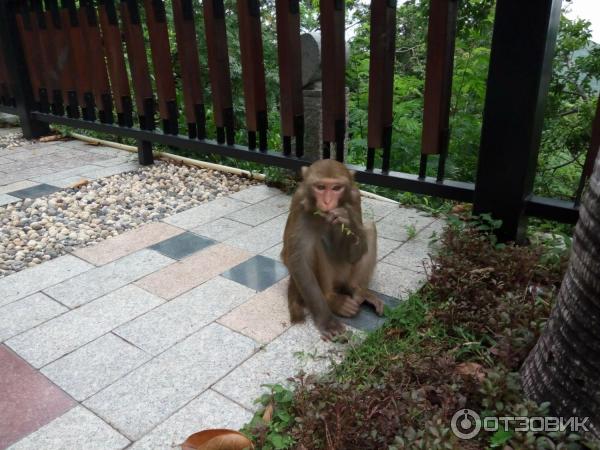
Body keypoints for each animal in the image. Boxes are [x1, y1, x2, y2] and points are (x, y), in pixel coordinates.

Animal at [278, 160, 382, 340]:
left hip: (346, 275)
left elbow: (356, 248)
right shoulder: (299, 200)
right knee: (315, 244)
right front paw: (327, 321)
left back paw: (357, 290)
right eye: (320, 187)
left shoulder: (355, 197)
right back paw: (332, 300)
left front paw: (349, 222)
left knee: (369, 228)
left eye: (336, 188)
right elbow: (296, 258)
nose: (327, 202)